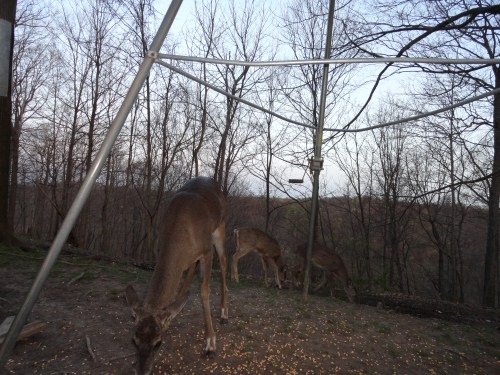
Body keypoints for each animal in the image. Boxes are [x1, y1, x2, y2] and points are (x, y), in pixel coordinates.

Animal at [125, 177, 229, 375]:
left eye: (158, 343)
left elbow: (204, 290)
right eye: (134, 340)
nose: (142, 372)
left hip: (220, 228)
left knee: (224, 262)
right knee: (190, 270)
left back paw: (224, 313)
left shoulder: (206, 250)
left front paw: (210, 343)